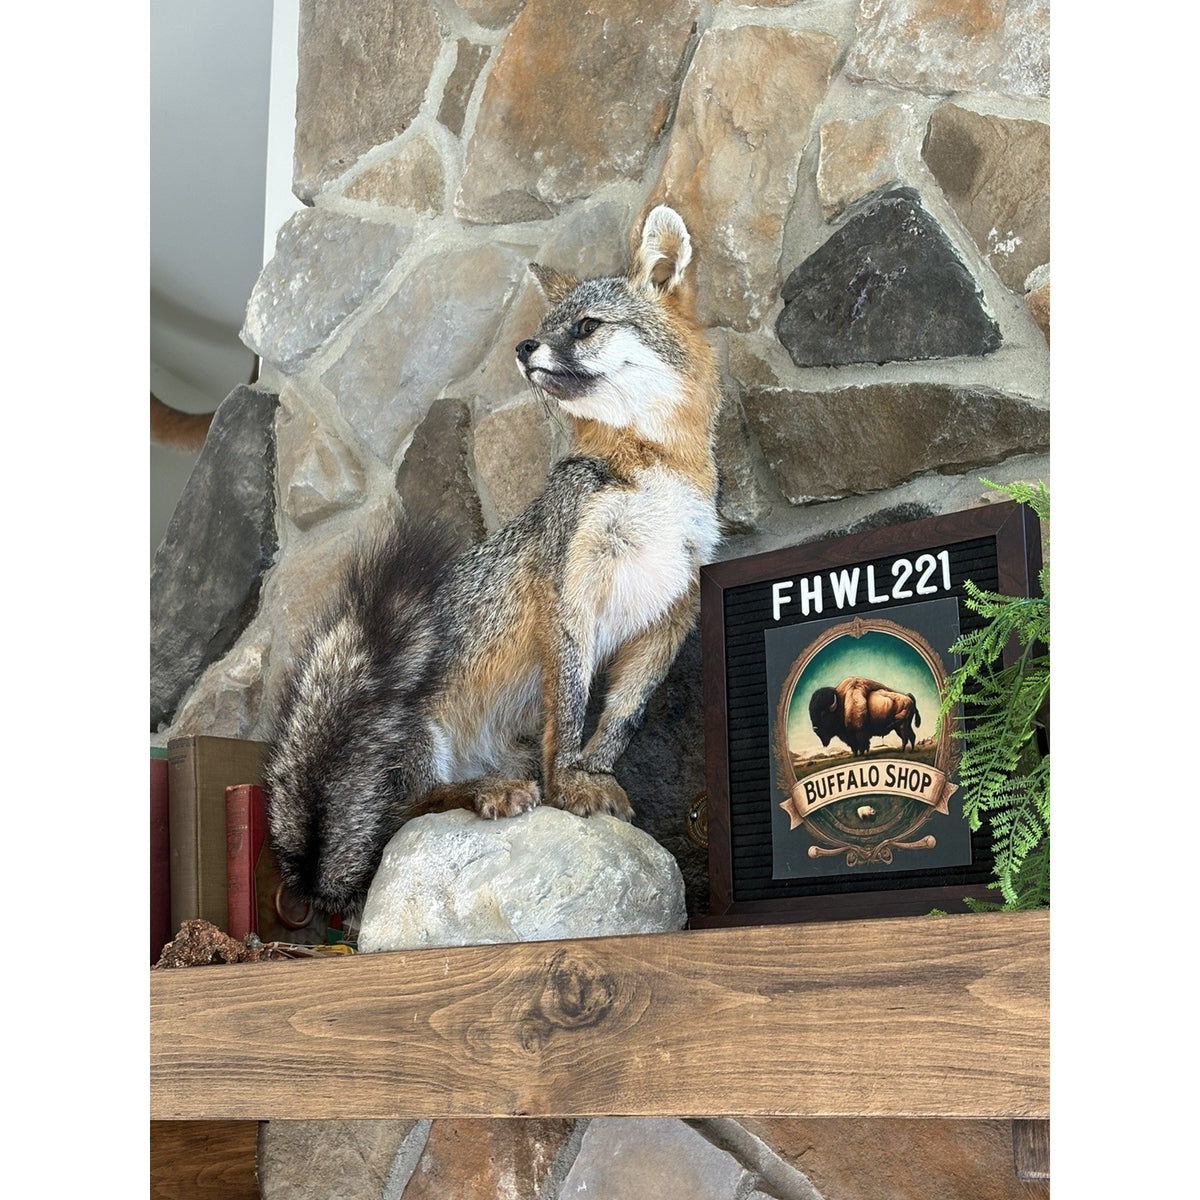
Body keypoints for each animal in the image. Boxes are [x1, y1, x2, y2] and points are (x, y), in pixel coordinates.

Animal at [264, 205, 723, 916]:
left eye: (585, 327)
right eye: (546, 326)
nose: (523, 348)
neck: (652, 474)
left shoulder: (669, 617)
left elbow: (619, 720)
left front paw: (594, 777)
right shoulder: (568, 592)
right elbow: (570, 710)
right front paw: (569, 785)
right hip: (412, 744)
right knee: (402, 817)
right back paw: (485, 793)